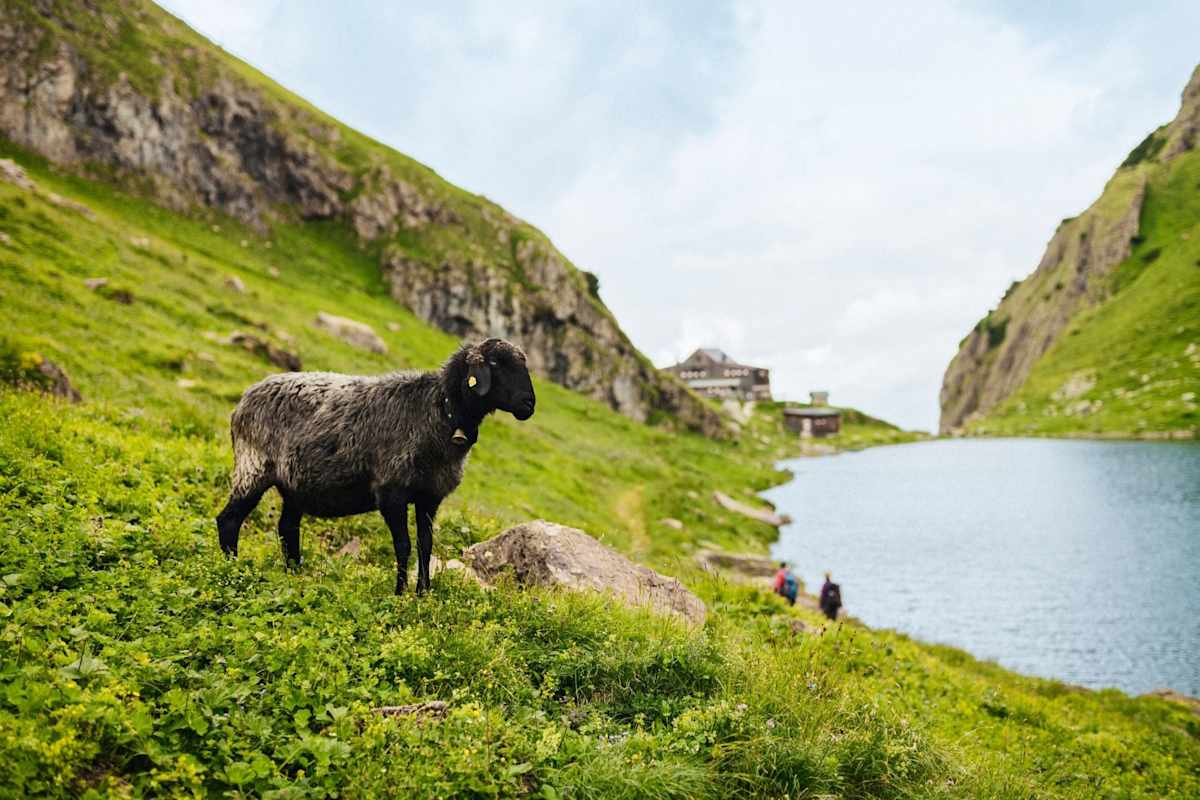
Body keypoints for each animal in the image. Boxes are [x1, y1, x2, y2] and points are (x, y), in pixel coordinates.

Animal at [215, 338, 536, 594]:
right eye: (495, 363)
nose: (528, 404)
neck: (439, 411)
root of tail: (245, 398)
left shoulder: (430, 496)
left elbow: (425, 544)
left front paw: (423, 593)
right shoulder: (391, 492)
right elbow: (403, 545)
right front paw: (399, 593)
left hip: (293, 484)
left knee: (287, 527)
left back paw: (294, 574)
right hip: (253, 467)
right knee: (229, 519)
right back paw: (233, 569)